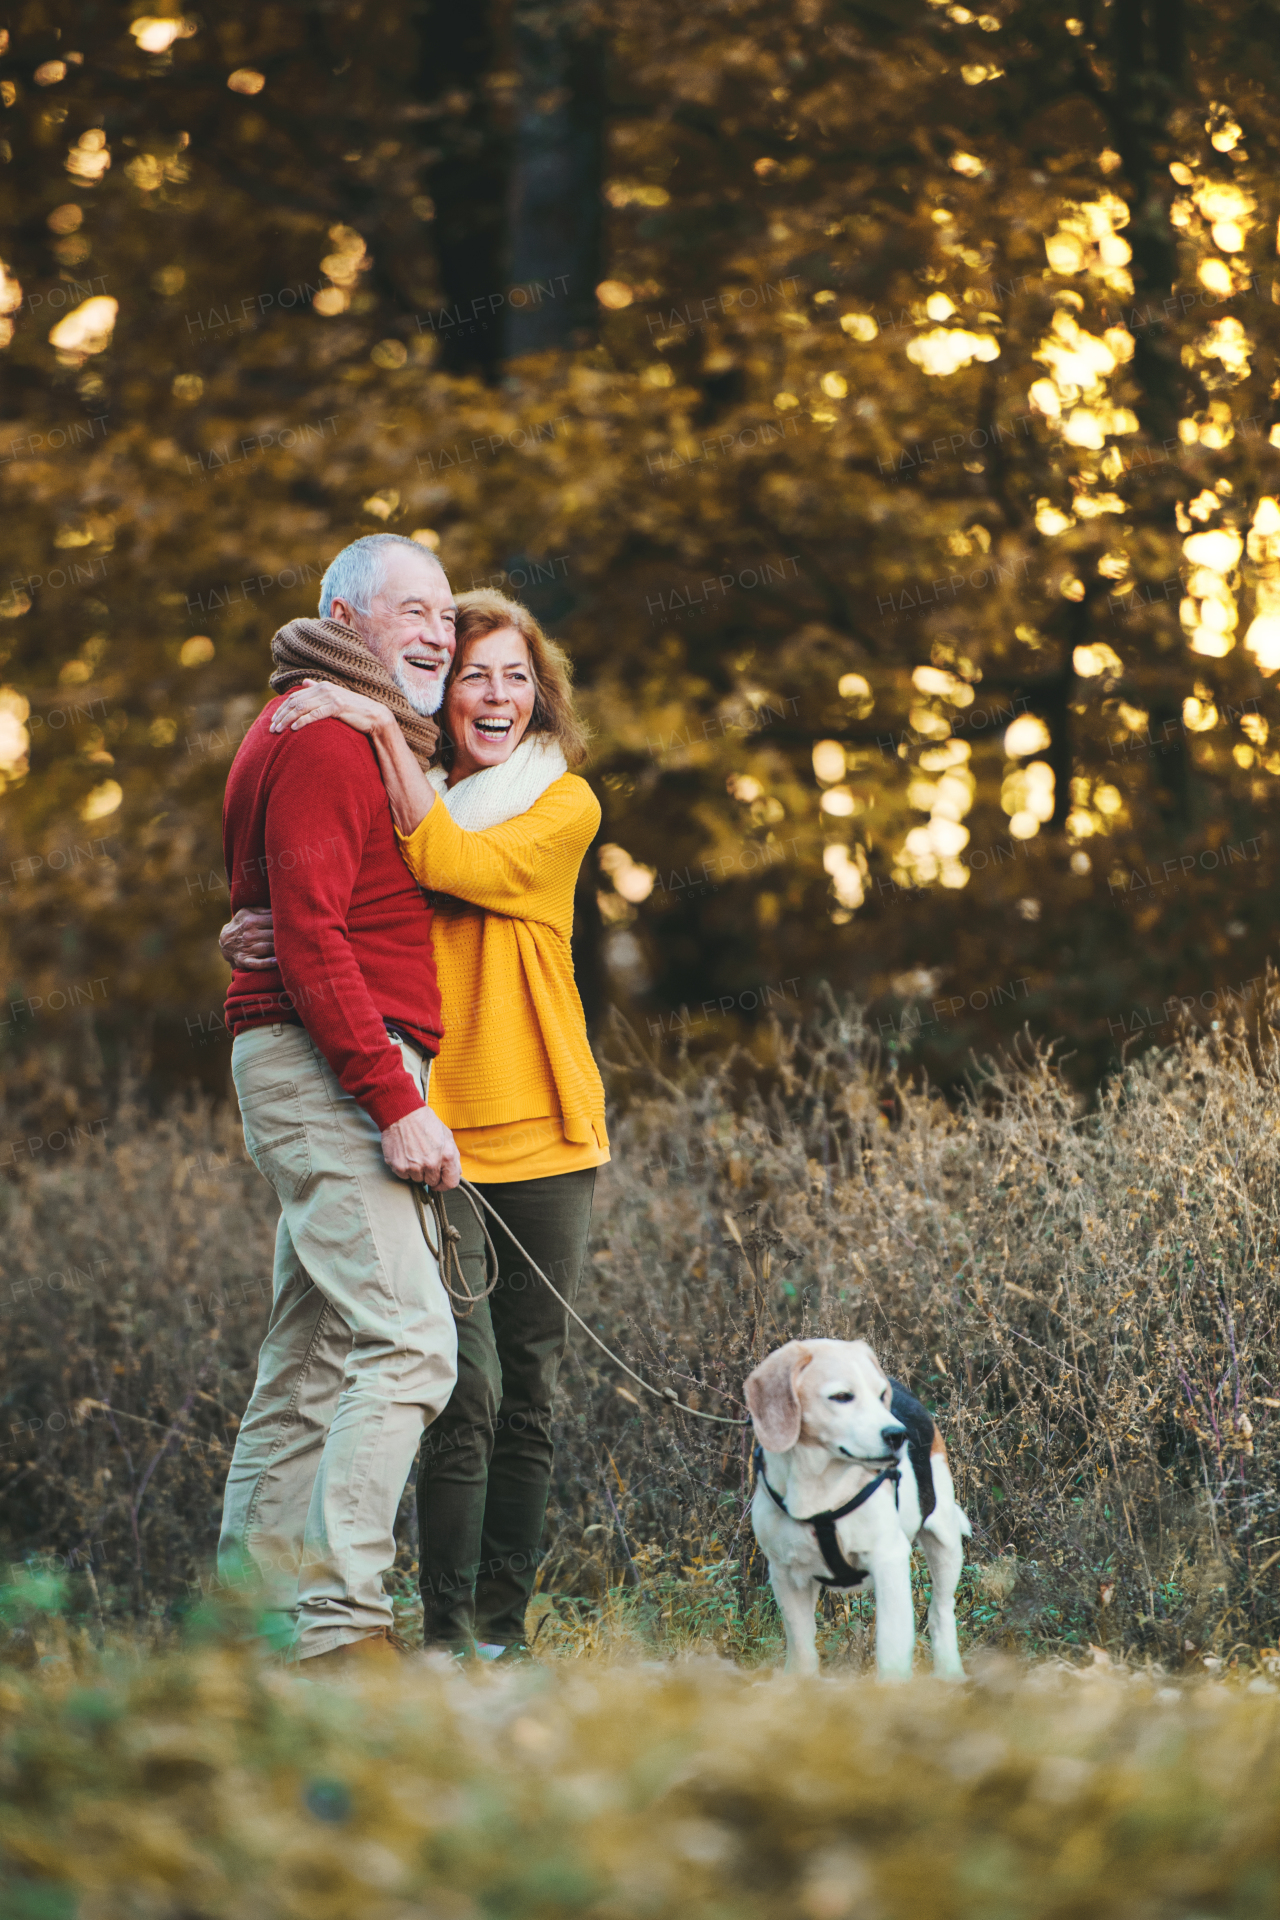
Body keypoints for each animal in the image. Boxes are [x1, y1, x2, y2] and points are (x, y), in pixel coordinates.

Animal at [740, 1344, 971, 1674]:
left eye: (880, 1394)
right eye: (841, 1396)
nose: (897, 1435)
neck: (819, 1485)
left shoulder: (889, 1561)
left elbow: (892, 1654)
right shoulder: (785, 1574)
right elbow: (802, 1651)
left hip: (945, 1543)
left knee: (941, 1613)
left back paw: (950, 1672)